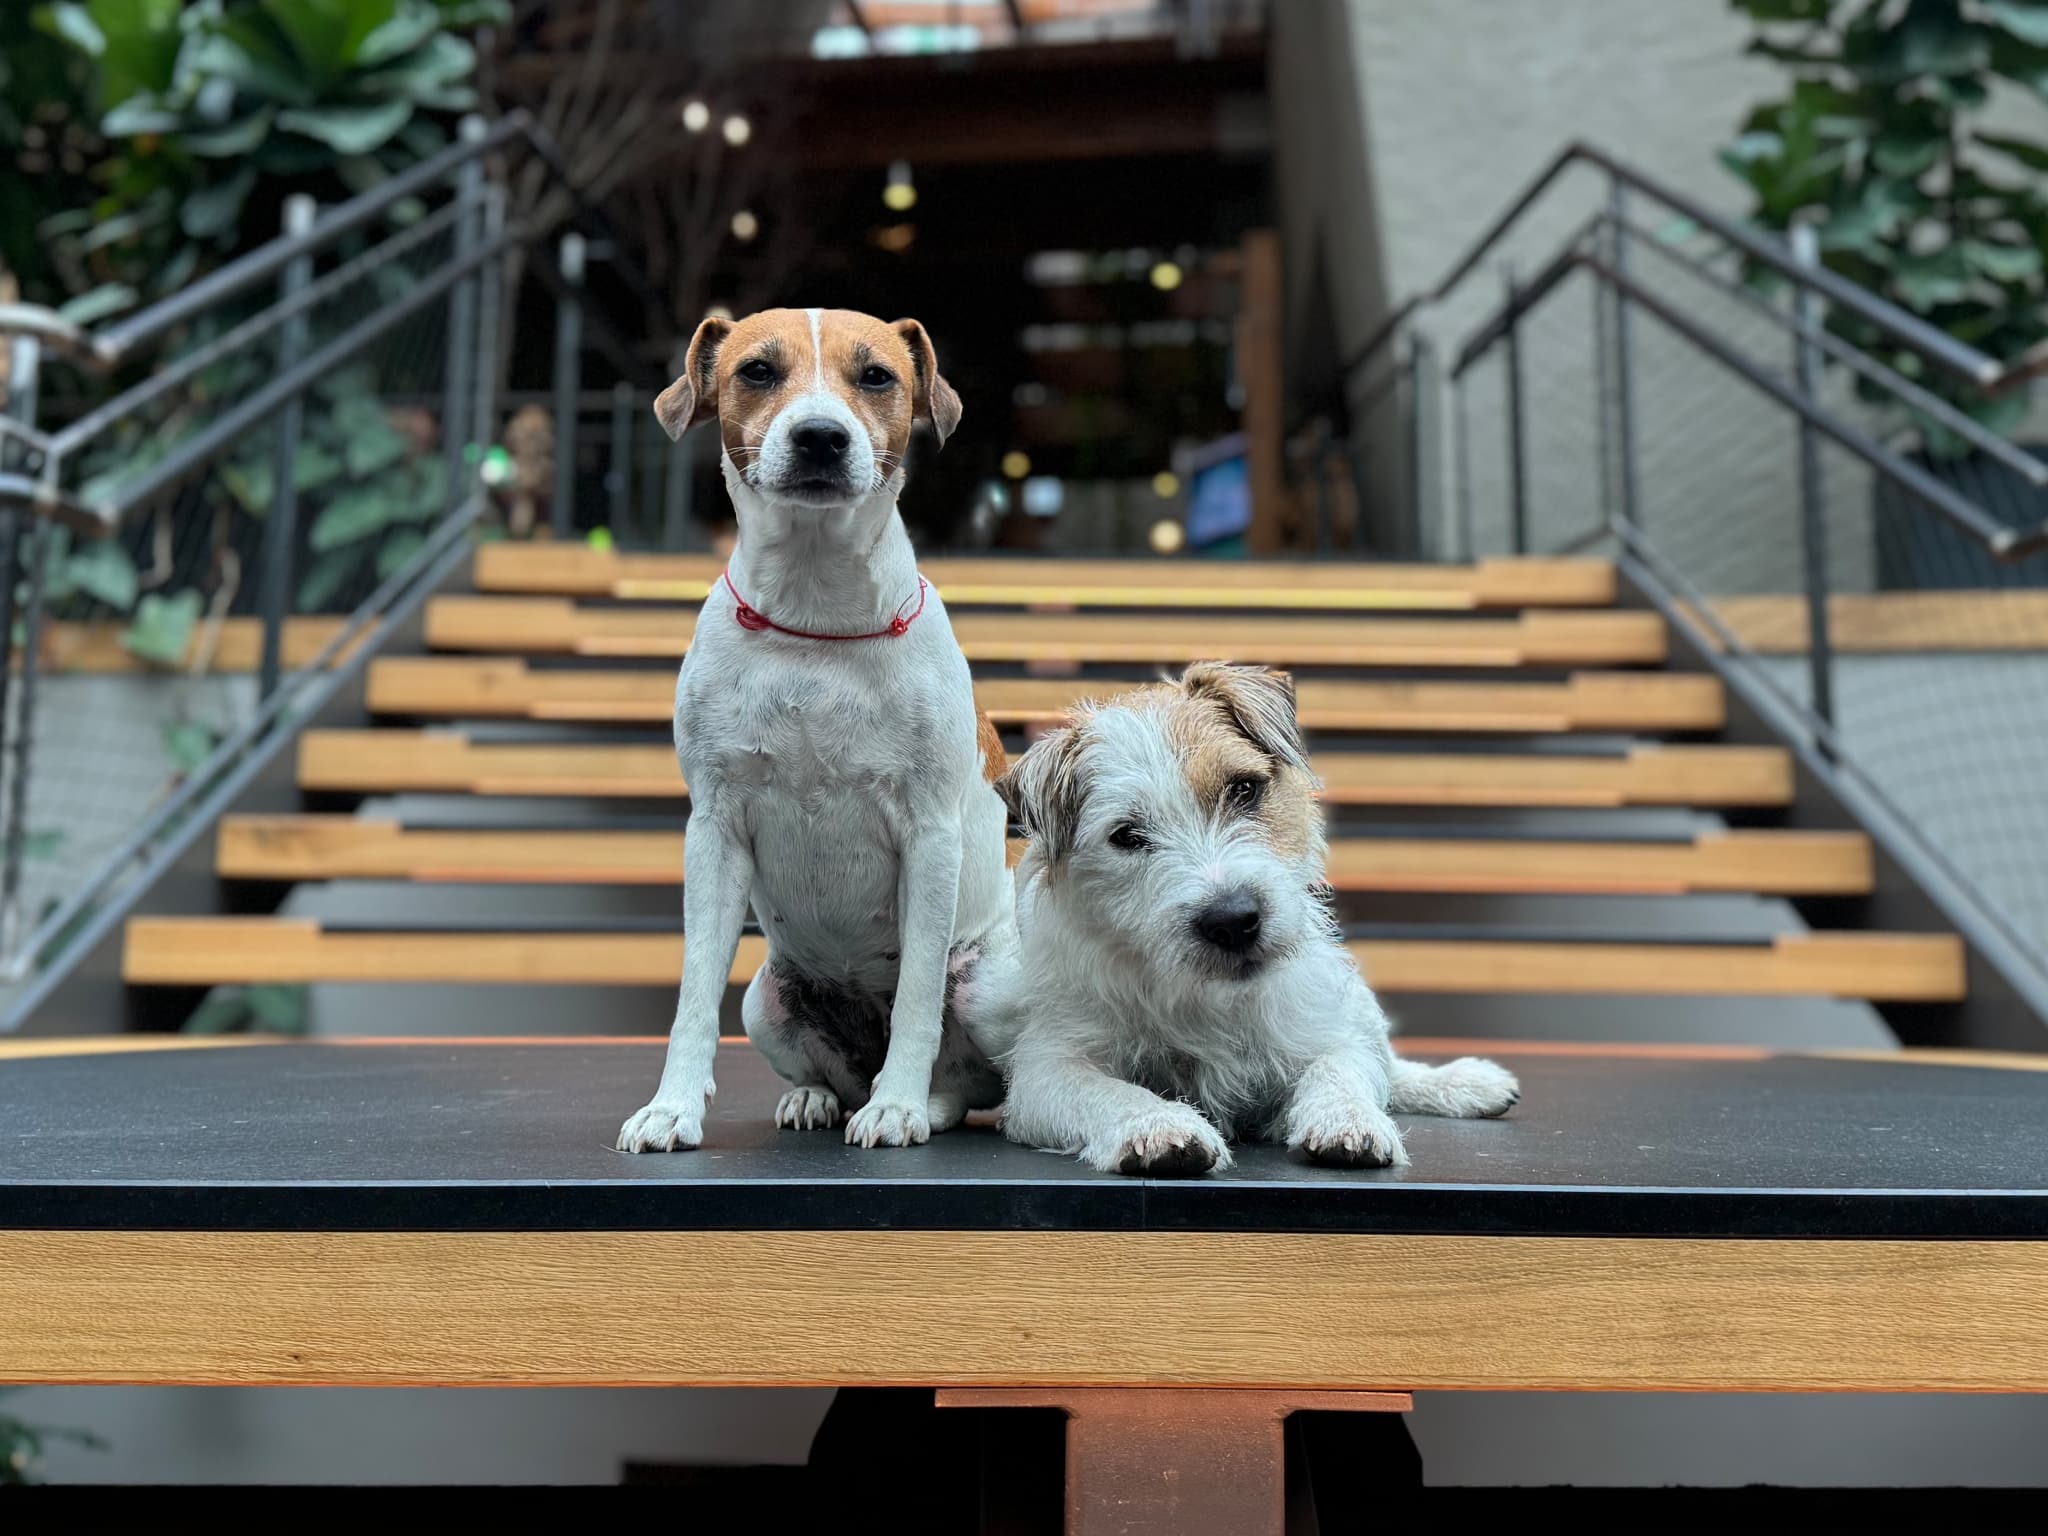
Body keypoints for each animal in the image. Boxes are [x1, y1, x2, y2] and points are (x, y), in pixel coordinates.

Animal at [614, 309, 1015, 1155]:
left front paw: (898, 1106)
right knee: (825, 1068)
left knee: (971, 1076)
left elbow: (918, 997)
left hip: (991, 984)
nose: (821, 437)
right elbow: (693, 994)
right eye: (758, 371)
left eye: (877, 376)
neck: (814, 617)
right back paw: (817, 1098)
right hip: (766, 999)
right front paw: (672, 1108)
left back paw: (917, 1101)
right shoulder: (714, 830)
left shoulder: (929, 835)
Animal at [991, 663, 1523, 1179]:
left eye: (1244, 788)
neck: (1211, 997)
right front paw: (1158, 1125)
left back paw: (1467, 1082)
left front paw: (1346, 1119)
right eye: (1126, 836)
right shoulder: (1050, 1068)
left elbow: (1341, 1068)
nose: (1232, 921)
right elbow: (1110, 1091)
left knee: (1389, 1066)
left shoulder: (1327, 1027)